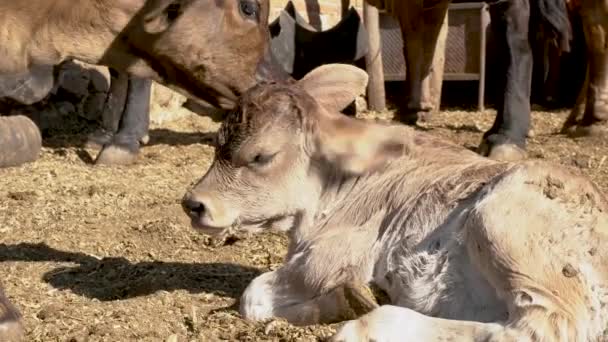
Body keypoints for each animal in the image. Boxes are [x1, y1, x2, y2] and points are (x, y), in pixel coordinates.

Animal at [183, 64, 608, 342]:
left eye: (260, 156)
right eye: (216, 142)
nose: (193, 203)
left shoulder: (334, 254)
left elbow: (253, 294)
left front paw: (349, 303)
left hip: (507, 229)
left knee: (544, 328)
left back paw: (370, 325)